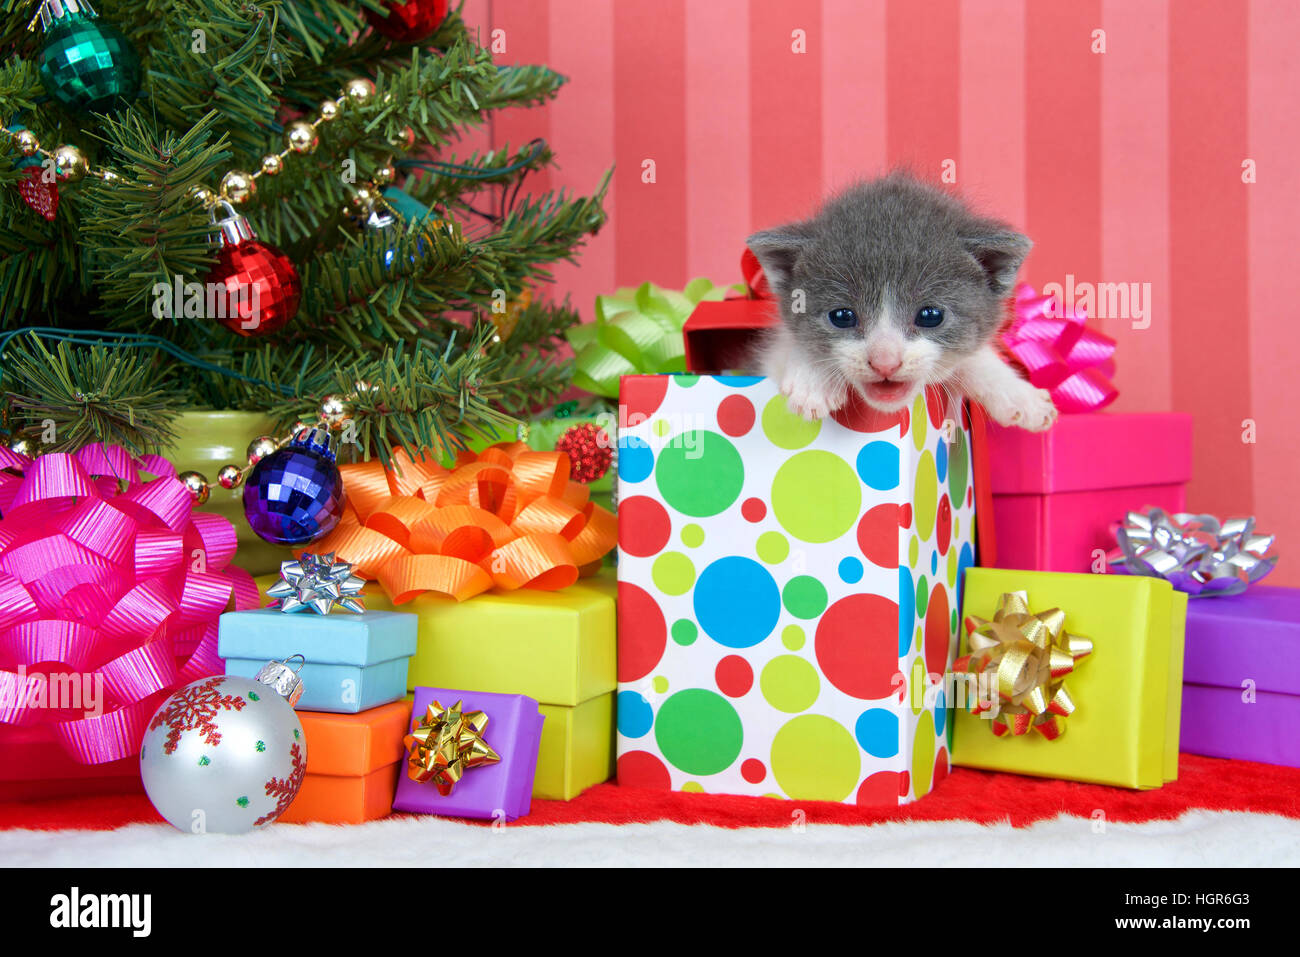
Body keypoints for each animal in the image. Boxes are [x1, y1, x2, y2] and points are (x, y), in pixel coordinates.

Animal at [754, 174, 1055, 431]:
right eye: (842, 316)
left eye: (930, 315)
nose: (885, 363)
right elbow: (787, 346)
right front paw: (813, 381)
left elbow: (972, 358)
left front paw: (1019, 395)